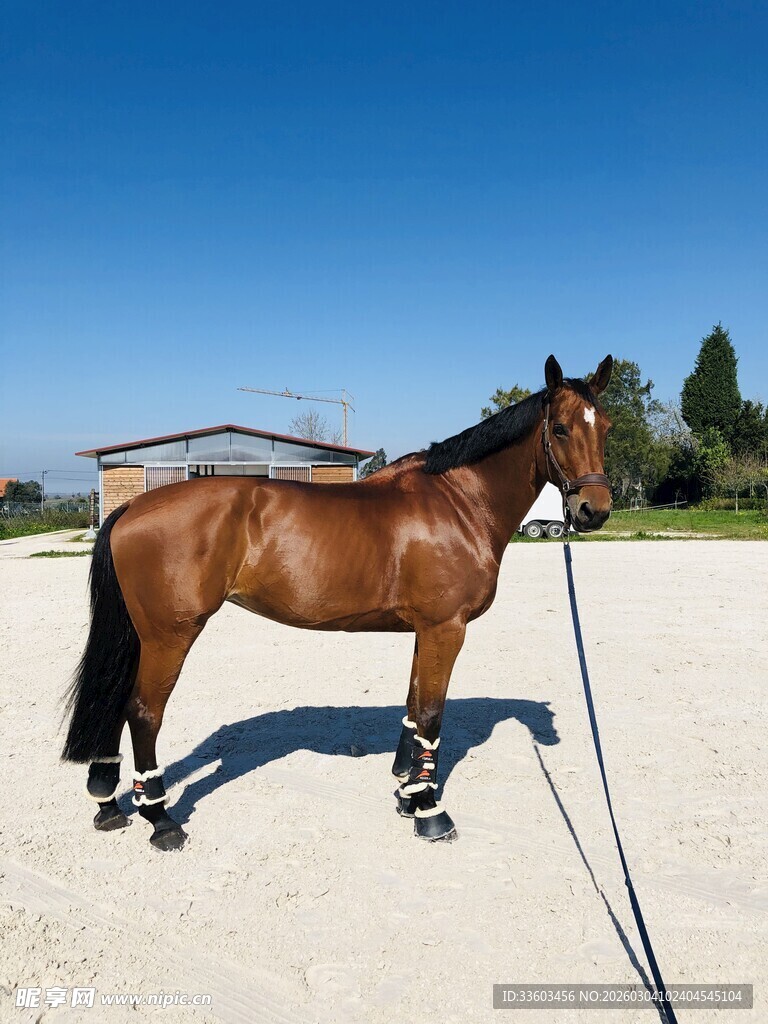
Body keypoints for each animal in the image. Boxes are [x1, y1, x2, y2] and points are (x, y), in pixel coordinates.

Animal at [62, 354, 613, 851]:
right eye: (560, 429)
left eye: (605, 428)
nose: (594, 510)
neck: (458, 503)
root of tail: (134, 505)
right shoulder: (446, 628)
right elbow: (432, 715)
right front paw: (430, 812)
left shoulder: (426, 631)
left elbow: (414, 707)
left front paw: (408, 792)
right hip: (170, 634)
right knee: (143, 712)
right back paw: (160, 819)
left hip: (142, 635)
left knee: (115, 698)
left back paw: (108, 803)